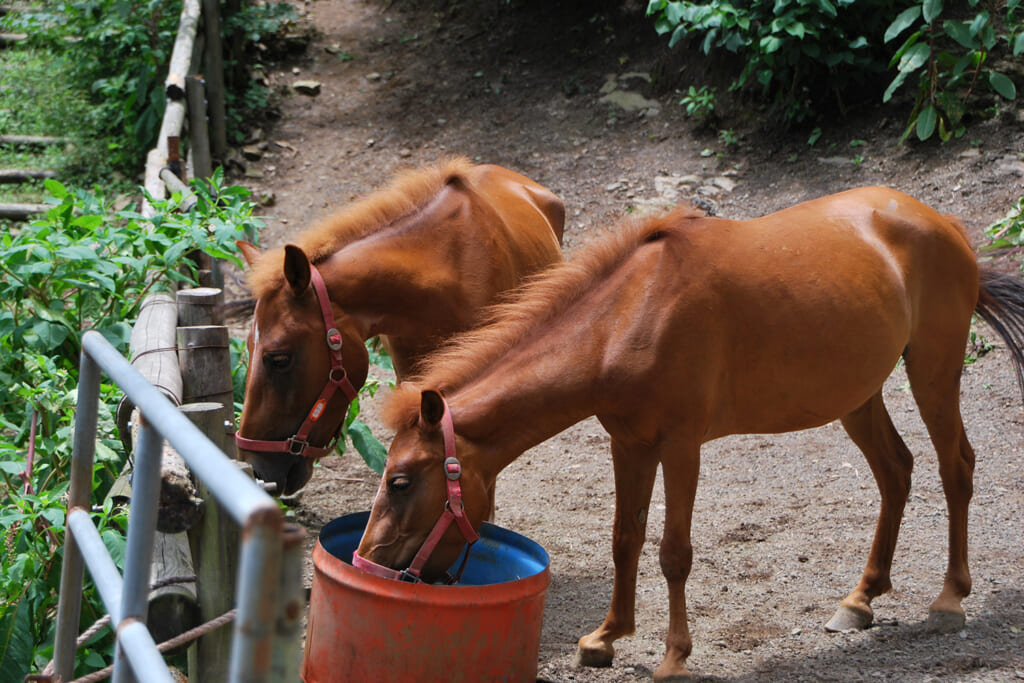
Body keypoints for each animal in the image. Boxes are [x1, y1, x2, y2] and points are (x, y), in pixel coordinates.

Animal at [356, 185, 1024, 679]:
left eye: (400, 481)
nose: (367, 563)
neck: (631, 315)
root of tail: (941, 222)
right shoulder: (628, 445)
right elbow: (625, 538)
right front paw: (607, 637)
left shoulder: (680, 448)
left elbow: (673, 553)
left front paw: (673, 657)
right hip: (857, 395)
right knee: (896, 471)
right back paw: (860, 599)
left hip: (933, 372)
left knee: (955, 467)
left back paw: (949, 599)